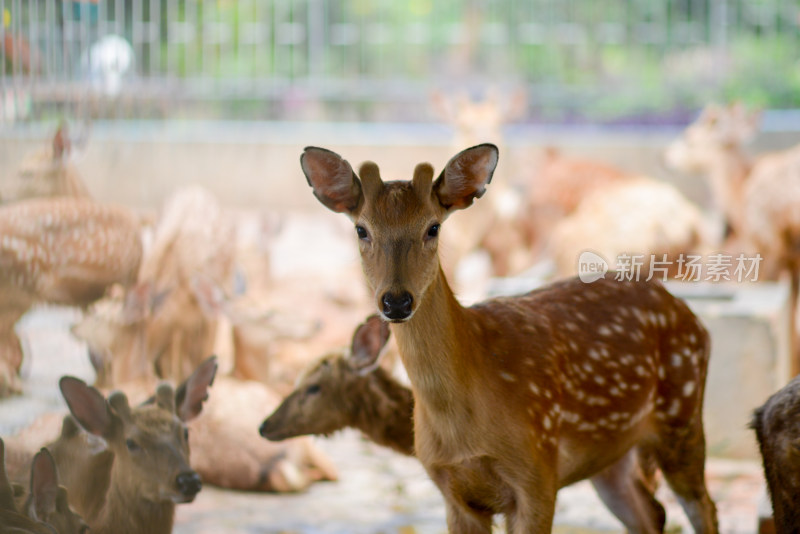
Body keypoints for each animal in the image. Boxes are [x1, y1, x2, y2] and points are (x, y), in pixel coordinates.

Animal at [298, 144, 720, 532]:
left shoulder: (538, 473)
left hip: (682, 412)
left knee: (703, 505)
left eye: (433, 227)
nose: (396, 301)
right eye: (361, 229)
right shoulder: (453, 491)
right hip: (611, 455)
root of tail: (687, 313)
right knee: (650, 512)